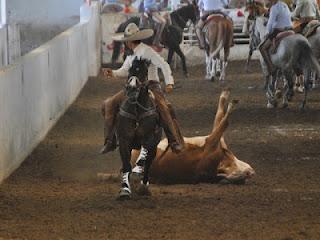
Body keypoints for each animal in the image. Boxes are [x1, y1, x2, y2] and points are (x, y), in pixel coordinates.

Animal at [115, 57, 161, 199]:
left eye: (144, 71)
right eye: (130, 70)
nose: (132, 88)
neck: (136, 110)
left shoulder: (148, 138)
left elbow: (142, 159)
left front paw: (138, 169)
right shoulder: (124, 141)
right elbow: (126, 165)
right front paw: (125, 190)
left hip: (154, 147)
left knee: (148, 163)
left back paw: (143, 187)